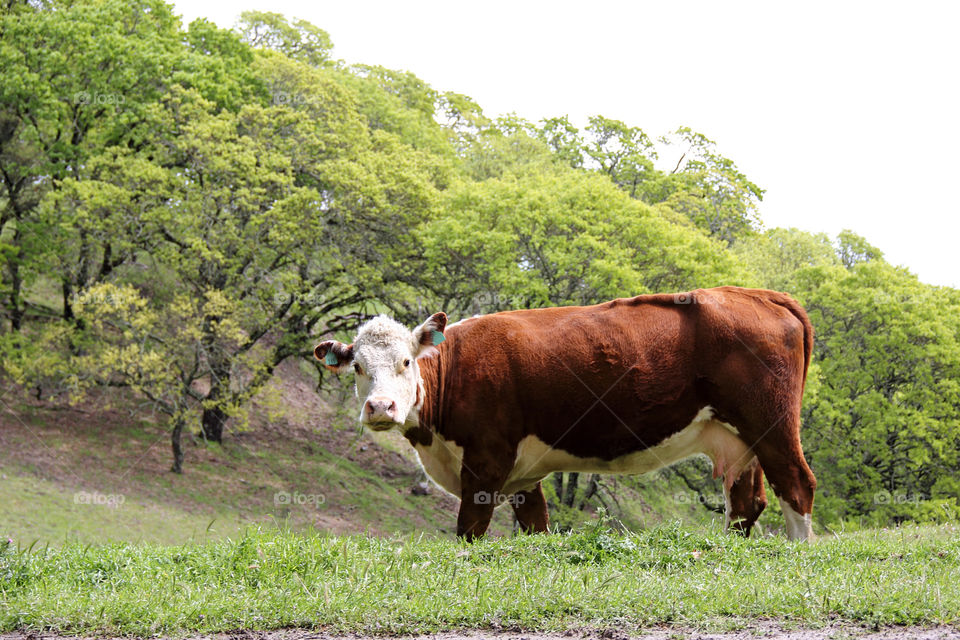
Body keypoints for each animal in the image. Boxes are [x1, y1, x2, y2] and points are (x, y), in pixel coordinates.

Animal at [315, 286, 817, 541]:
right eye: (357, 367)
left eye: (405, 361)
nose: (381, 407)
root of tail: (756, 292)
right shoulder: (523, 475)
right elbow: (536, 527)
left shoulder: (486, 461)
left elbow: (469, 529)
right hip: (737, 437)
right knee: (747, 501)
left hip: (771, 424)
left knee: (796, 484)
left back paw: (796, 554)